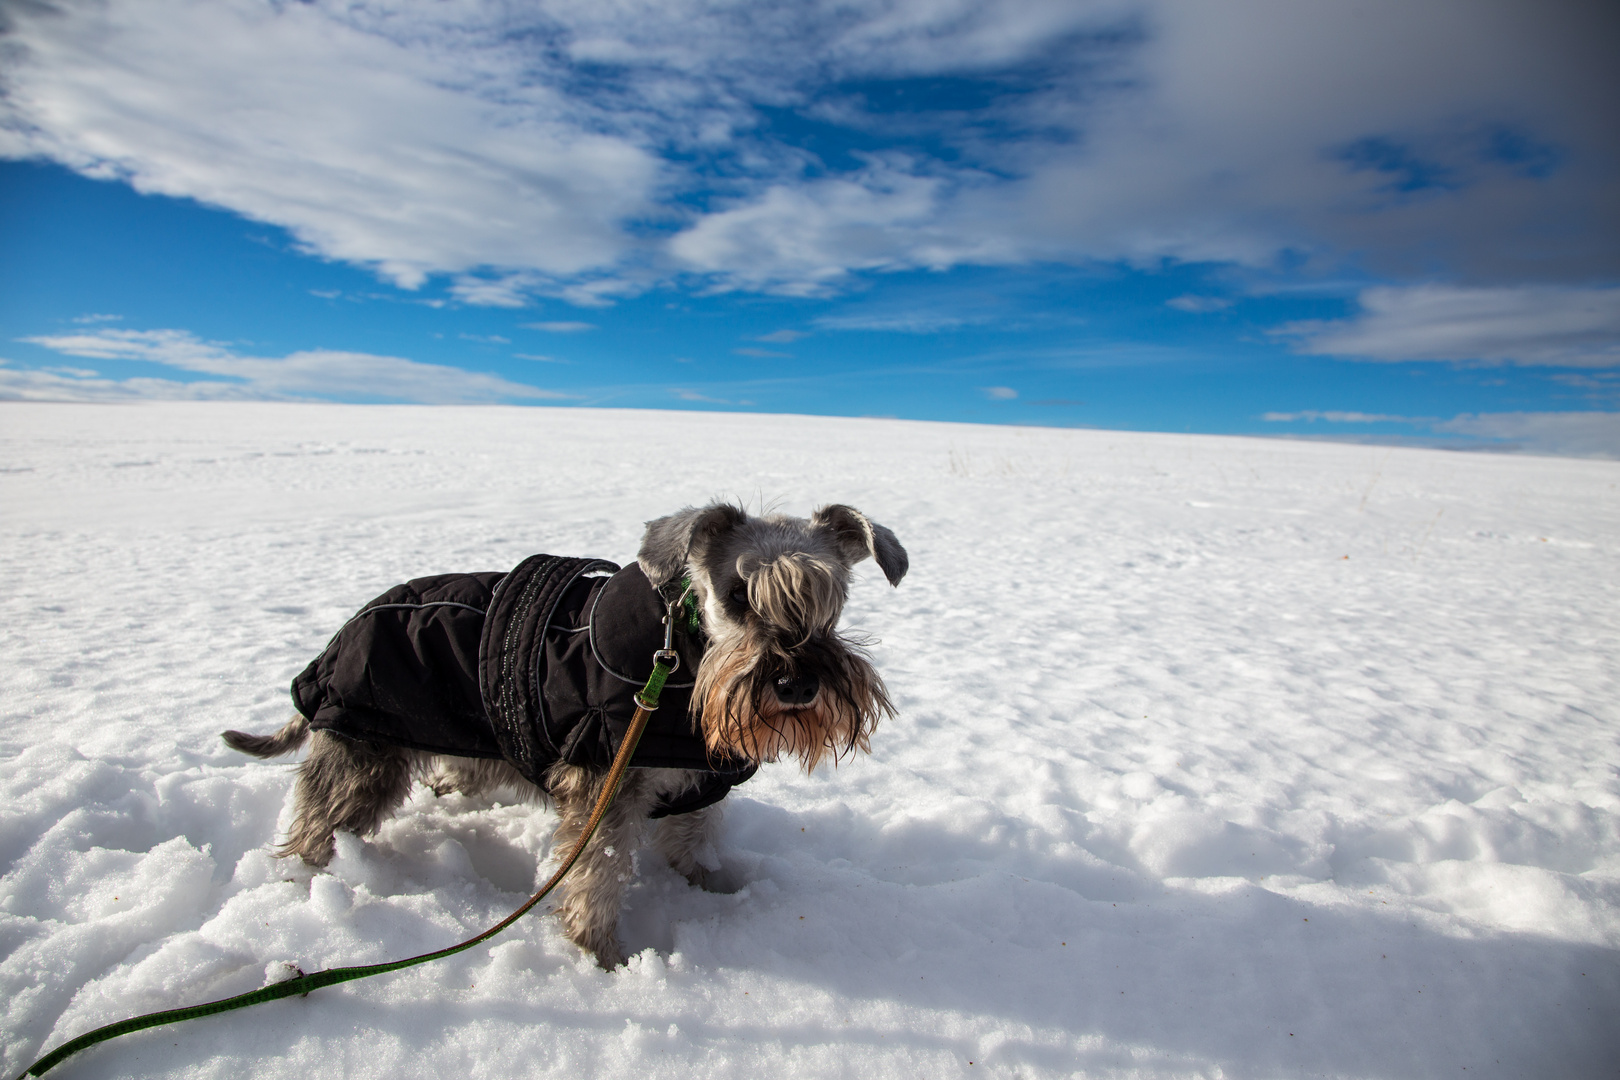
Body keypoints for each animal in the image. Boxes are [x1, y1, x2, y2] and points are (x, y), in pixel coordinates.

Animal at [225, 508, 913, 971]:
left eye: (831, 598)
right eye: (738, 594)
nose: (797, 682)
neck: (687, 662)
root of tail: (338, 635)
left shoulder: (700, 782)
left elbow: (692, 840)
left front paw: (712, 887)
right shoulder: (605, 789)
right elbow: (596, 876)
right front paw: (601, 955)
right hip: (363, 752)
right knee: (318, 821)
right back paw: (301, 883)